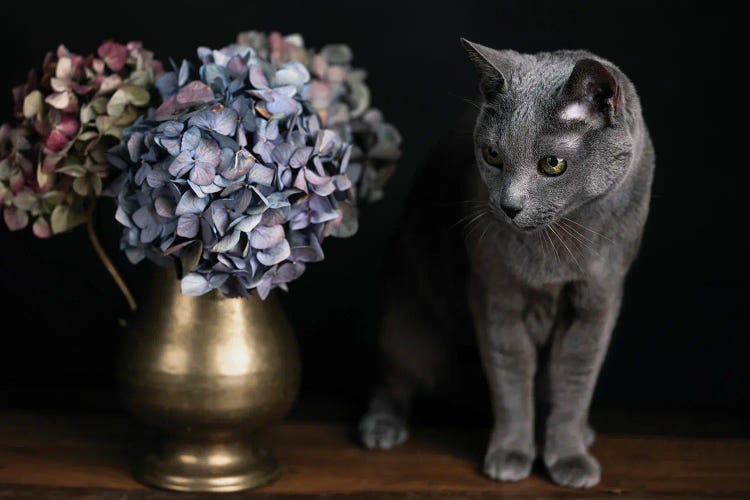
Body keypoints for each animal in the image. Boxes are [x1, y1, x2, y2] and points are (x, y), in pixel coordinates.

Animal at [358, 40, 652, 488]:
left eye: (552, 164)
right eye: (493, 155)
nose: (508, 206)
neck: (558, 248)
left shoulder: (597, 303)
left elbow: (574, 381)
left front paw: (569, 458)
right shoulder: (496, 295)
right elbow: (511, 379)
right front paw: (511, 454)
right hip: (403, 316)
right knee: (395, 376)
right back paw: (381, 428)